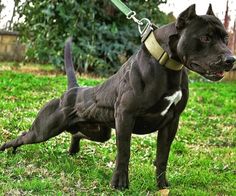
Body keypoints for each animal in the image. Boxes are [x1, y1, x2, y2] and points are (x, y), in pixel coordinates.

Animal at [0, 3, 234, 190]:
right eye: (205, 37)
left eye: (225, 38)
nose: (231, 59)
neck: (168, 66)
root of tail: (73, 90)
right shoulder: (125, 116)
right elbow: (124, 153)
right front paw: (119, 184)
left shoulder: (171, 122)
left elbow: (162, 156)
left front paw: (162, 185)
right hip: (43, 130)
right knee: (23, 137)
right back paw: (7, 149)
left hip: (100, 132)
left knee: (77, 133)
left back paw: (73, 148)